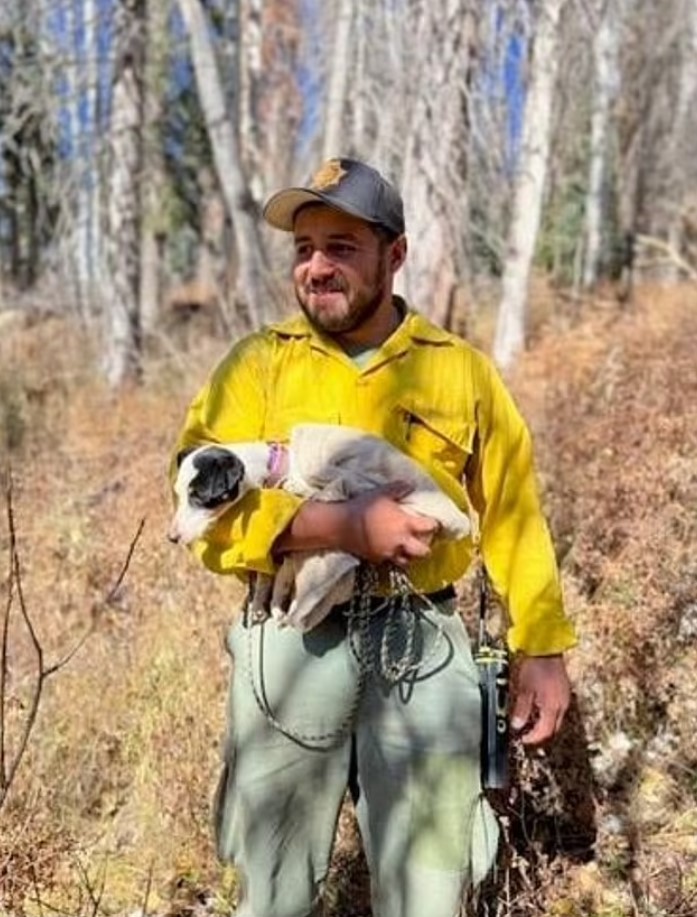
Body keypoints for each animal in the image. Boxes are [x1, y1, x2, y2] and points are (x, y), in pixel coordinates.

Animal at [171, 422, 470, 628]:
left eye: (198, 496)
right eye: (178, 493)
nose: (171, 538)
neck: (275, 468)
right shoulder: (285, 558)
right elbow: (272, 579)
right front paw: (266, 608)